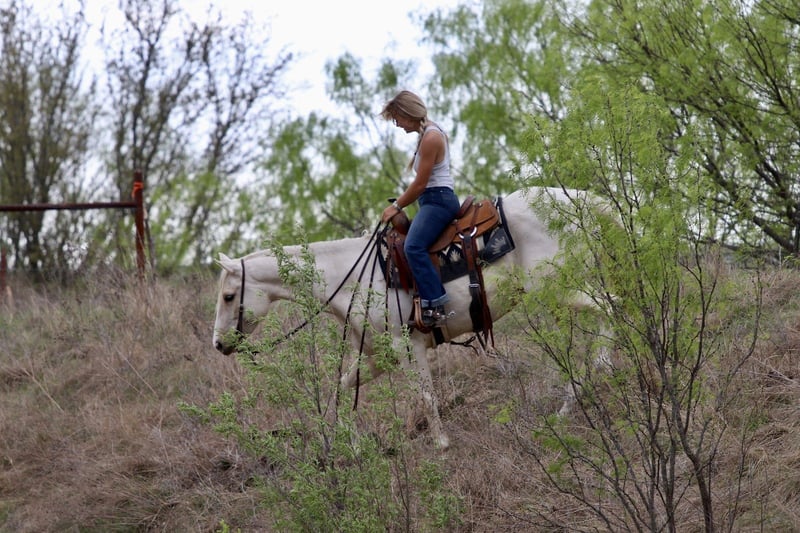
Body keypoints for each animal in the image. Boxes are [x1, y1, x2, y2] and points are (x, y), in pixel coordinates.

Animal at [212, 187, 597, 449]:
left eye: (229, 297)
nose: (218, 344)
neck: (352, 279)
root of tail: (574, 198)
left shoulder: (408, 348)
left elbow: (425, 395)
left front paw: (441, 444)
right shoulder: (378, 356)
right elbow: (345, 387)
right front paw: (352, 442)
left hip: (561, 289)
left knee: (605, 312)